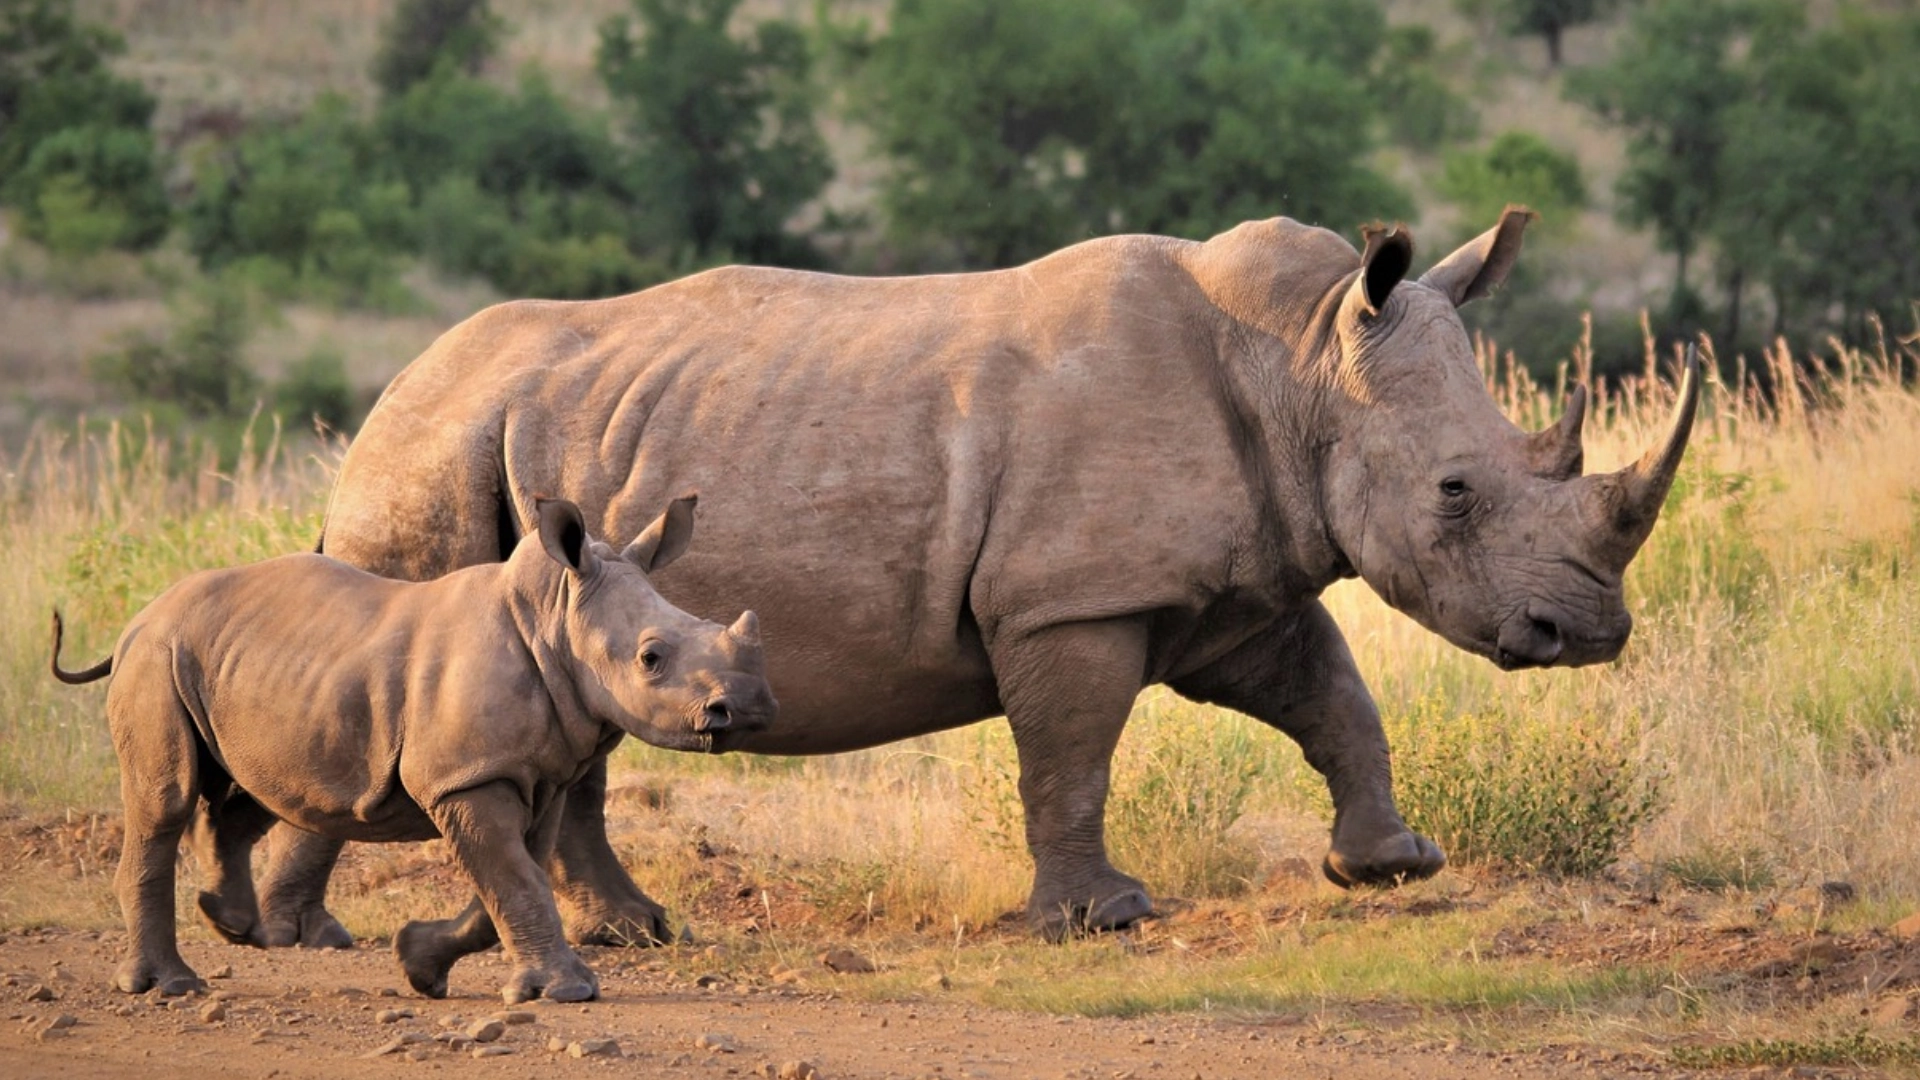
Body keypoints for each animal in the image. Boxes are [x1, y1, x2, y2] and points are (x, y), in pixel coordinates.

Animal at [53, 496, 775, 1001]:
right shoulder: (466, 778)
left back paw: (231, 924)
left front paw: (419, 964)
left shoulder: (534, 775)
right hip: (157, 657)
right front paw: (569, 991)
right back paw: (171, 985)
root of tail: (138, 619)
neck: (554, 617)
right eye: (651, 658)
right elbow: (515, 879)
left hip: (239, 667)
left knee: (258, 786)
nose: (749, 707)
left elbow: (511, 881)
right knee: (166, 799)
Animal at [240, 207, 1697, 946]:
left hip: (530, 455)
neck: (1299, 359)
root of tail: (394, 386)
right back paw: (297, 938)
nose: (1589, 630)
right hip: (433, 458)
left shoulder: (1237, 584)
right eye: (1456, 492)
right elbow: (1072, 753)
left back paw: (632, 936)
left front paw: (1390, 867)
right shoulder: (1072, 597)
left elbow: (1334, 697)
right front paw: (1100, 920)